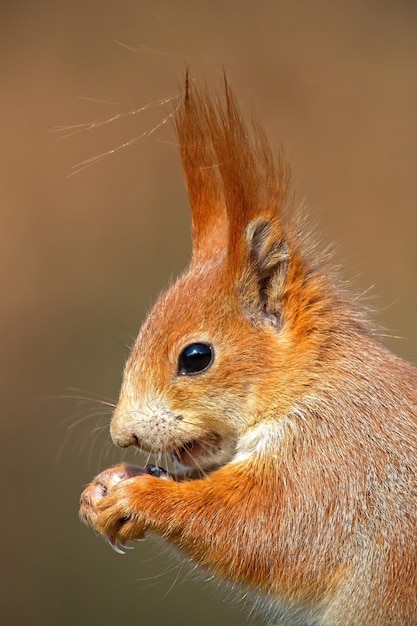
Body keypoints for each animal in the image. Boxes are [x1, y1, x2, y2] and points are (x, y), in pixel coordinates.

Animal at [79, 75, 416, 620]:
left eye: (196, 358)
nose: (122, 436)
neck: (314, 380)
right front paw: (107, 484)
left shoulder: (337, 464)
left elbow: (267, 531)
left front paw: (141, 497)